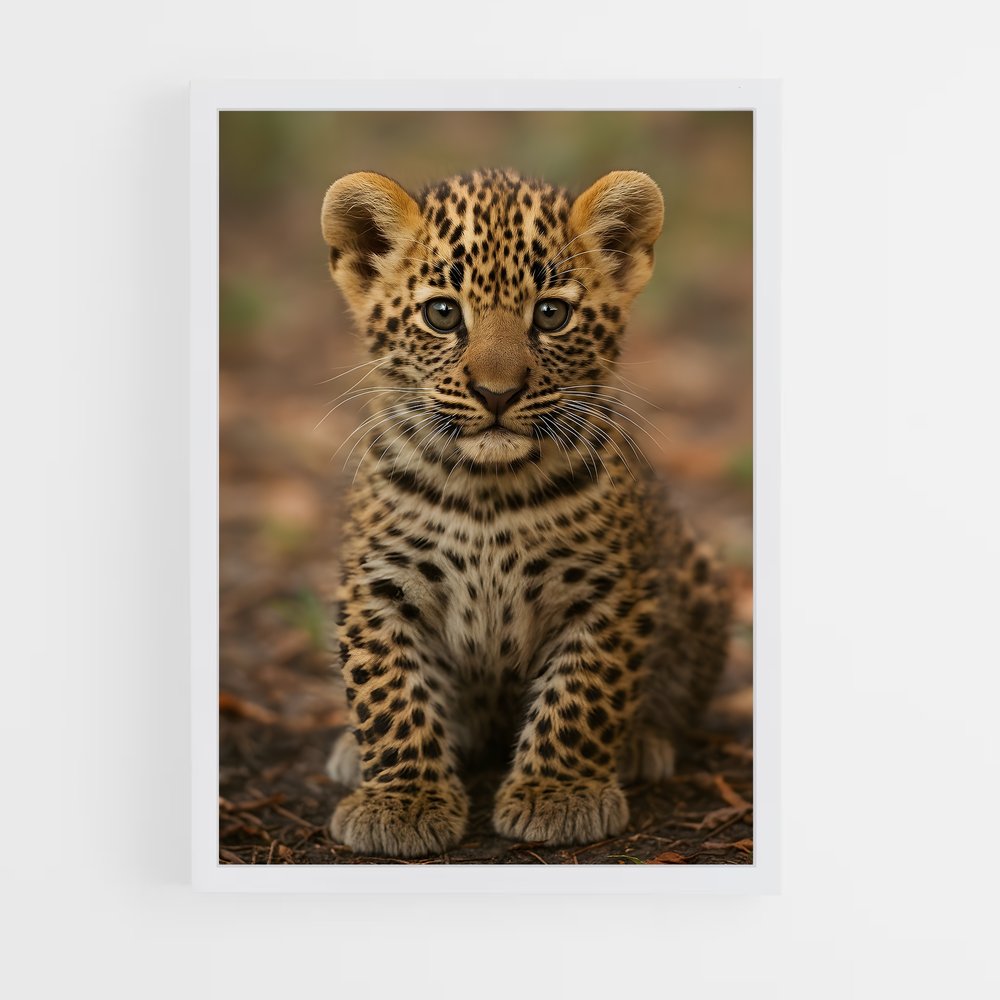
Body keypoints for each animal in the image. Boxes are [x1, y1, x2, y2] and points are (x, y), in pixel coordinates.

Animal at [319, 167, 730, 858]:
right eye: (442, 313)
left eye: (551, 313)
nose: (497, 393)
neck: (487, 490)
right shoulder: (378, 586)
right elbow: (388, 690)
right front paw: (401, 801)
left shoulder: (609, 589)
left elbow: (584, 692)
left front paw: (559, 794)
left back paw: (643, 744)